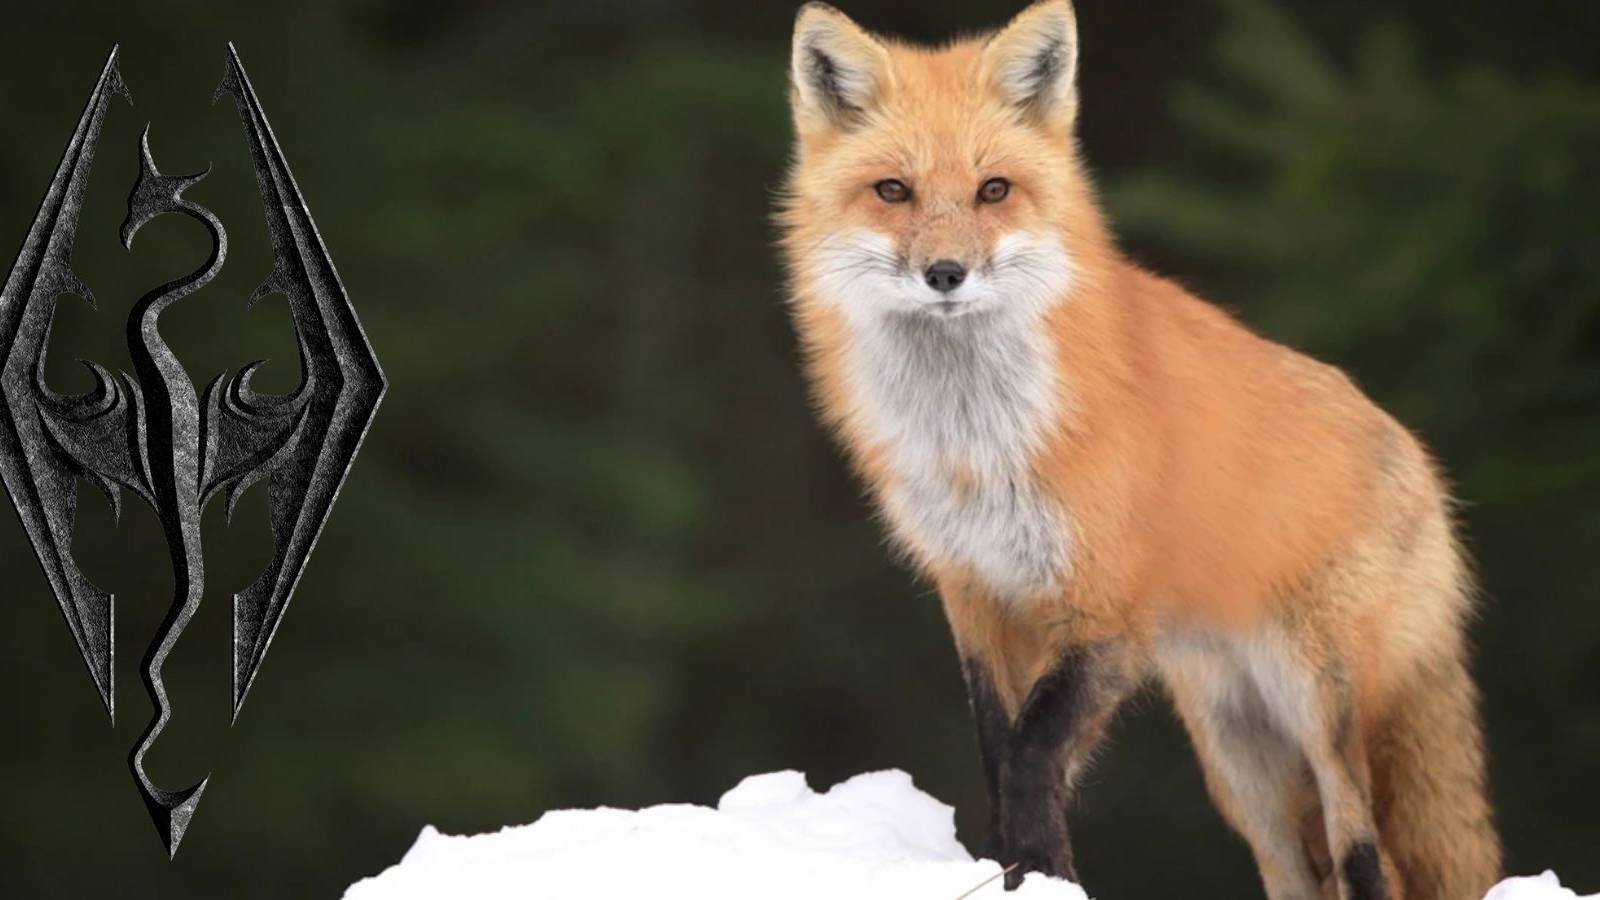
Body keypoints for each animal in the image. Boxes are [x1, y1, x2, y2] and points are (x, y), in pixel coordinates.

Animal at [776, 2, 1502, 898]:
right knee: (1302, 869)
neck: (980, 444)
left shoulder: (1107, 609)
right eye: (892, 191)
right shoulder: (975, 591)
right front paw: (1014, 868)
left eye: (993, 190)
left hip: (1319, 706)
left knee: (1369, 855)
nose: (946, 273)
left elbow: (1033, 755)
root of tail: (1423, 464)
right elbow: (998, 750)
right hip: (1240, 759)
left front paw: (1040, 873)